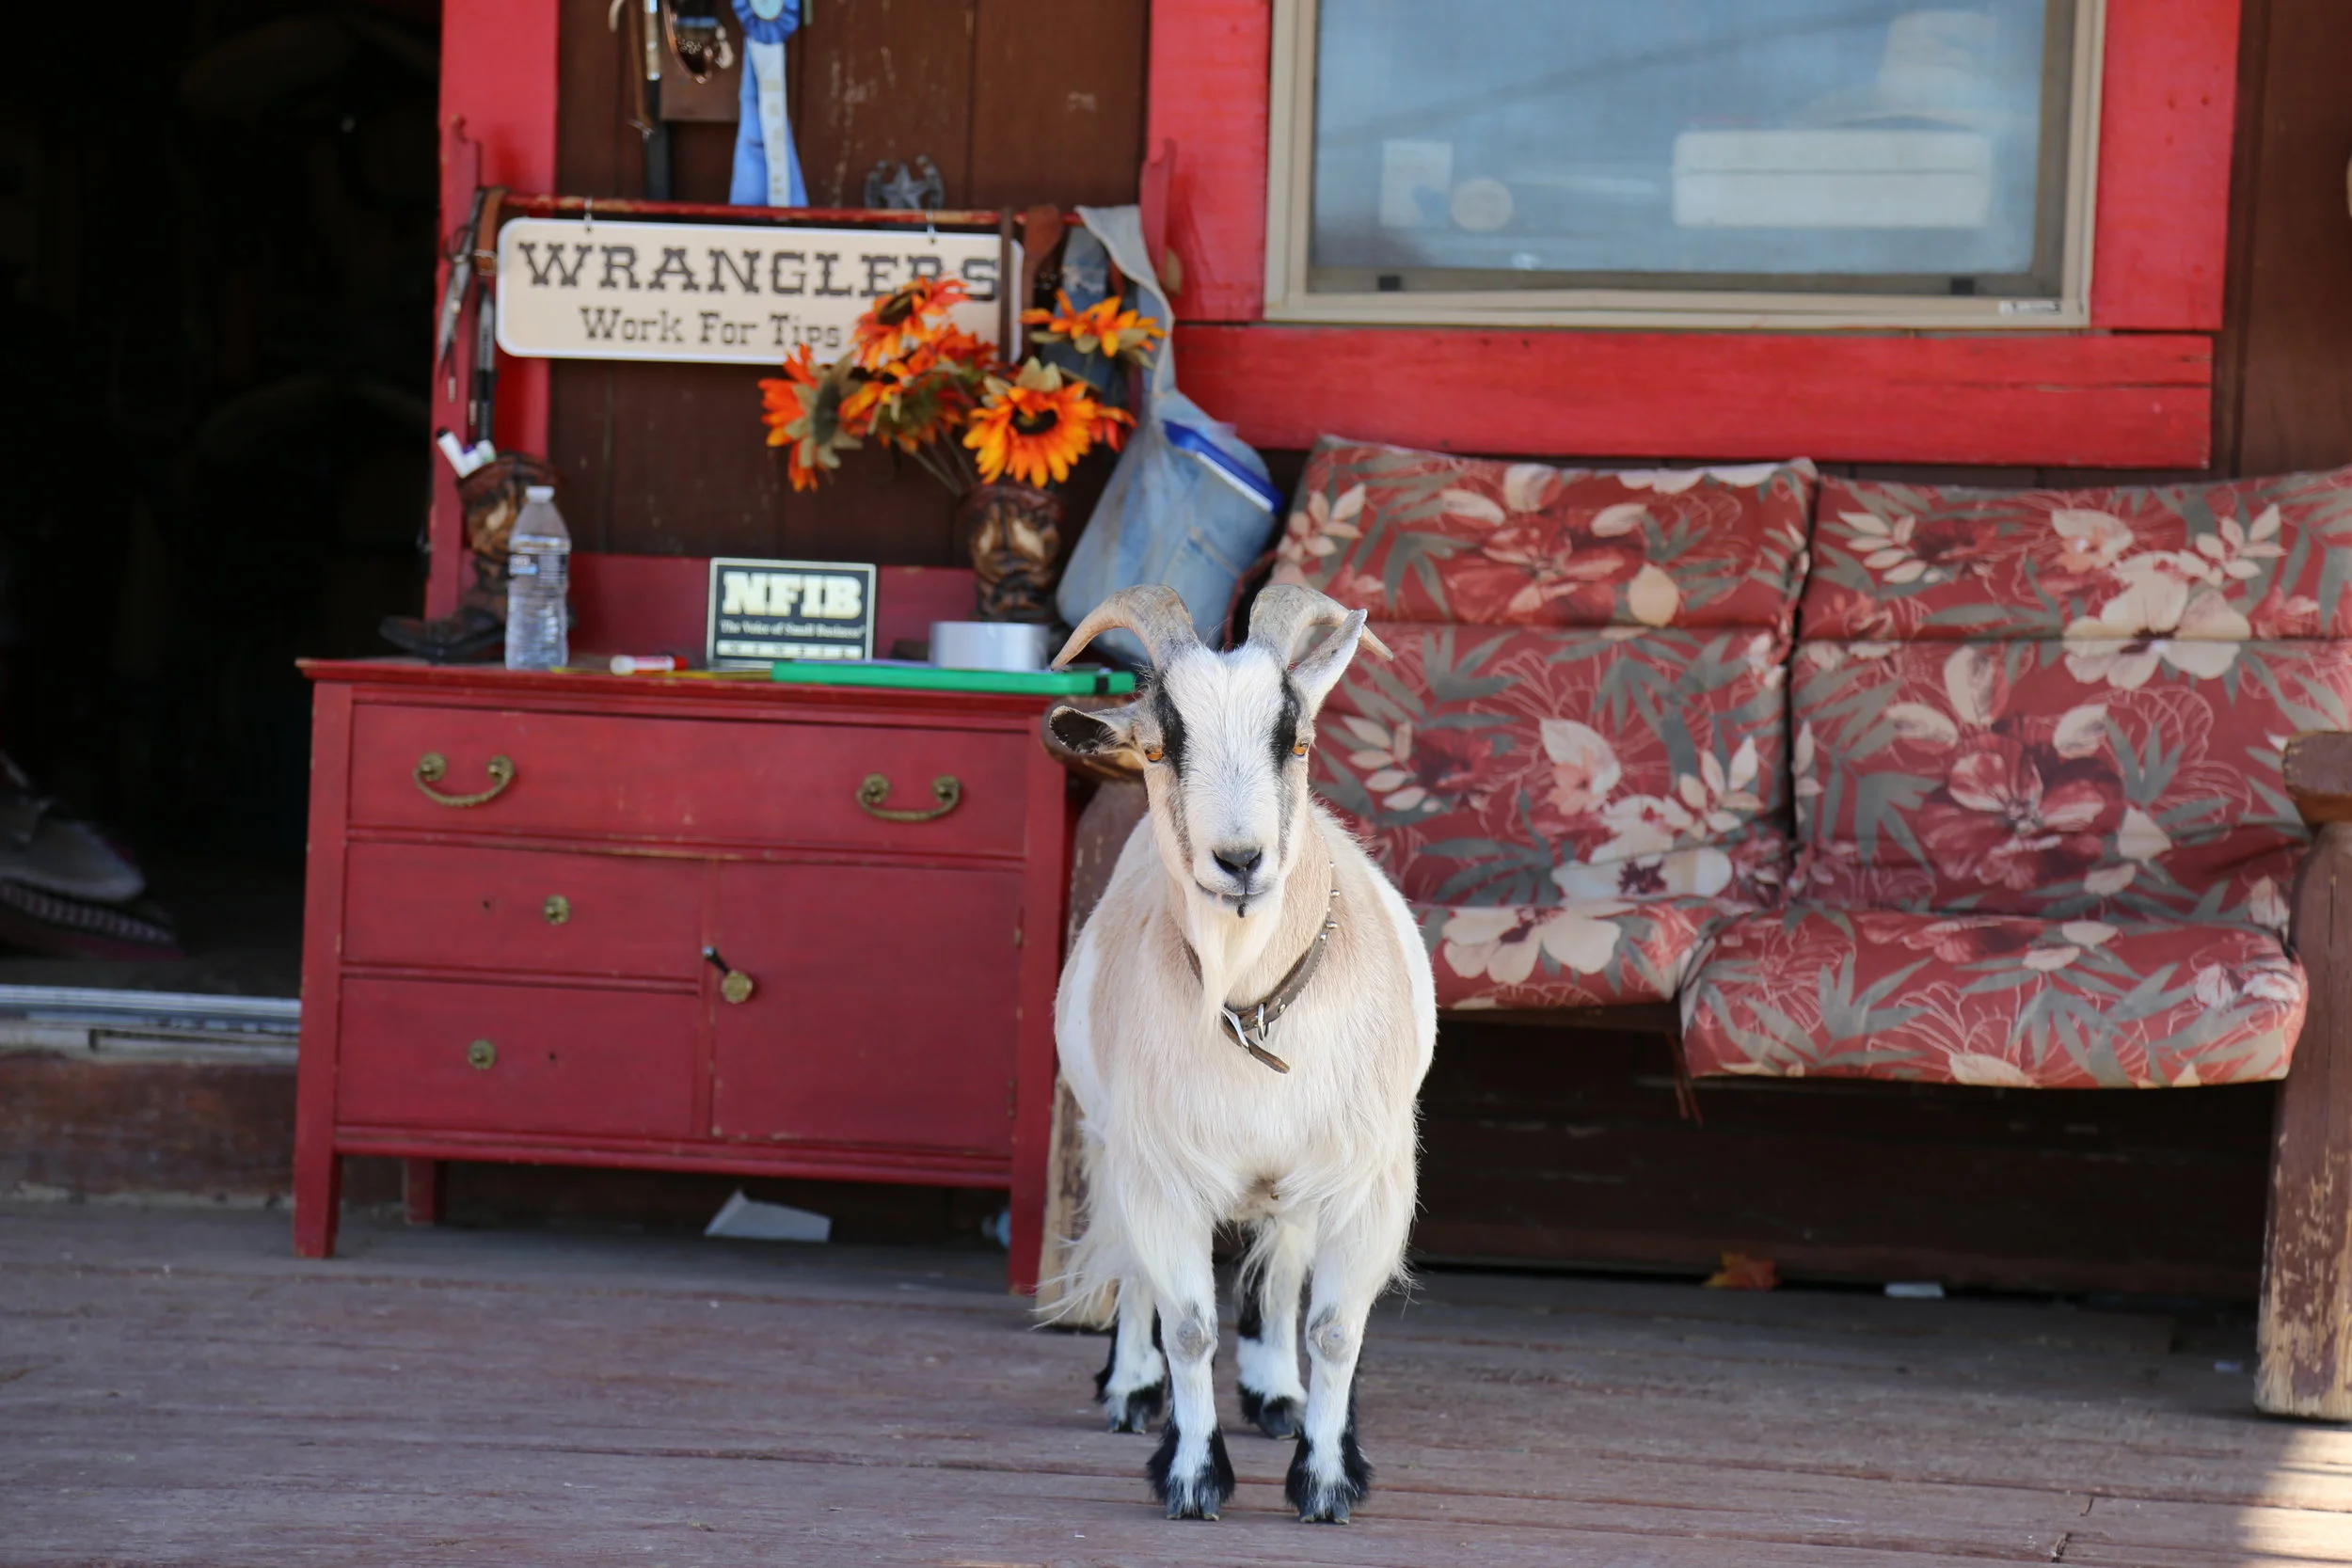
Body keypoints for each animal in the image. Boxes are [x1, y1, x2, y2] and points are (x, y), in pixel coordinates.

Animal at [1045, 583, 1438, 1523]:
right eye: (1160, 746)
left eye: (1295, 739)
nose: (1241, 860)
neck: (1253, 1009)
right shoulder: (1161, 1166)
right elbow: (1189, 1322)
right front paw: (1191, 1475)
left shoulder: (1366, 1175)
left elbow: (1334, 1327)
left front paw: (1326, 1476)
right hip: (1114, 1141)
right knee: (1137, 1267)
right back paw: (1132, 1386)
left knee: (1283, 1261)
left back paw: (1277, 1393)